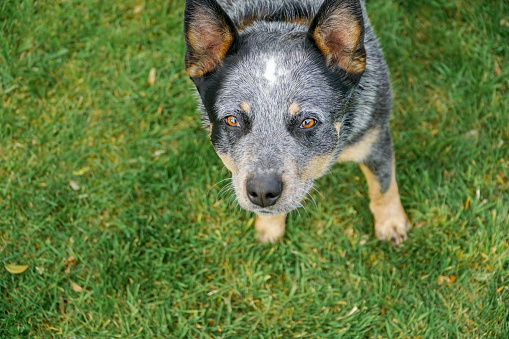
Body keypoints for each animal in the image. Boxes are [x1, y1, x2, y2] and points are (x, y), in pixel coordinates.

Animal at [183, 0, 408, 244]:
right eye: (232, 120)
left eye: (307, 122)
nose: (262, 191)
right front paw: (270, 226)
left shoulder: (373, 137)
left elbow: (383, 186)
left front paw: (391, 223)